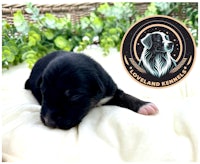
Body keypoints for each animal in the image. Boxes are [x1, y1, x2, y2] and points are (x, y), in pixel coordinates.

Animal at [25, 51, 158, 129]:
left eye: (74, 96)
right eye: (43, 92)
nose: (48, 121)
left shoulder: (110, 91)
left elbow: (125, 96)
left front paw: (145, 105)